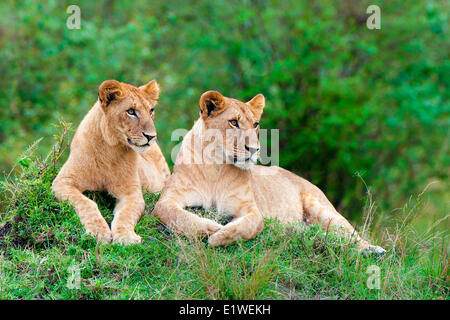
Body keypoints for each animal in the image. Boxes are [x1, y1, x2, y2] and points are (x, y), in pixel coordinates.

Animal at [52, 79, 171, 244]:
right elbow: (86, 203)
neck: (110, 150)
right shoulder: (63, 182)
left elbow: (125, 215)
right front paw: (98, 232)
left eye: (151, 111)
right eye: (131, 111)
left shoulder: (132, 193)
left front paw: (126, 237)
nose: (151, 136)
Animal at [153, 90, 384, 255]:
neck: (215, 167)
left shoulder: (251, 209)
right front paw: (210, 228)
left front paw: (218, 235)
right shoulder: (167, 199)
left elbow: (248, 226)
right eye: (233, 122)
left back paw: (374, 250)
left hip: (323, 209)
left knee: (350, 233)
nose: (254, 149)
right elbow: (177, 216)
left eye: (256, 124)